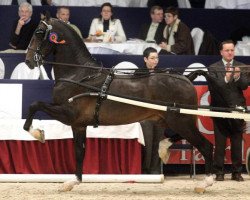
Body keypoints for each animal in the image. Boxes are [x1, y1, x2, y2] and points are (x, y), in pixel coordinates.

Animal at [24, 16, 214, 191]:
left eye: (38, 33)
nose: (28, 61)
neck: (79, 75)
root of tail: (186, 78)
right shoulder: (78, 124)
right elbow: (79, 152)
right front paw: (74, 181)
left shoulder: (68, 114)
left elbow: (35, 104)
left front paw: (37, 133)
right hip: (174, 119)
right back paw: (164, 148)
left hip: (181, 120)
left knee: (205, 145)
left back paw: (206, 182)